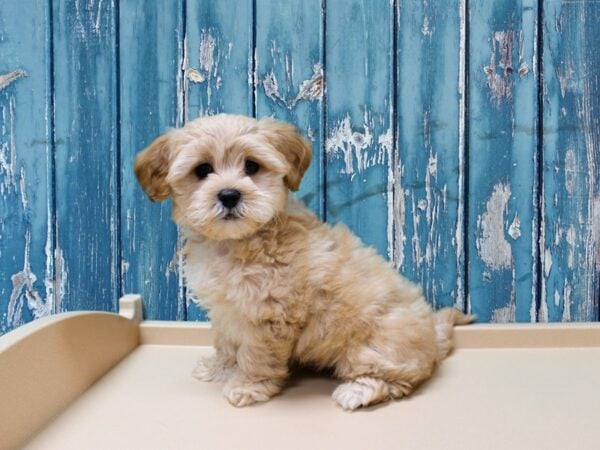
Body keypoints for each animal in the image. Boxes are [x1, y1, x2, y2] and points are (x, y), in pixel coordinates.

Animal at [135, 113, 474, 412]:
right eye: (202, 169)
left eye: (252, 166)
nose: (229, 195)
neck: (238, 240)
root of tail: (433, 339)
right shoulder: (228, 312)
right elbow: (227, 343)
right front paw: (220, 368)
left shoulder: (270, 316)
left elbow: (257, 356)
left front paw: (247, 386)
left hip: (374, 348)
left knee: (396, 379)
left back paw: (358, 391)